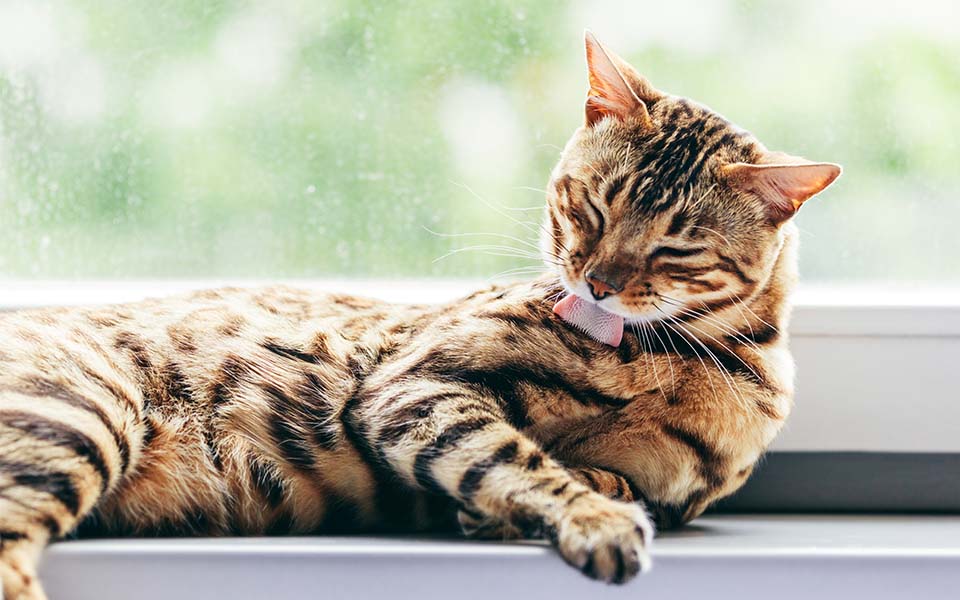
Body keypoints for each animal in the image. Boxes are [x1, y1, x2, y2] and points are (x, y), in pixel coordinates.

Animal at [0, 34, 840, 600]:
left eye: (673, 247)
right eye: (592, 206)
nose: (597, 282)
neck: (669, 360)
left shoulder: (667, 483)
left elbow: (613, 478)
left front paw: (552, 501)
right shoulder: (414, 387)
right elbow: (515, 457)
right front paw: (590, 518)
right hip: (80, 412)